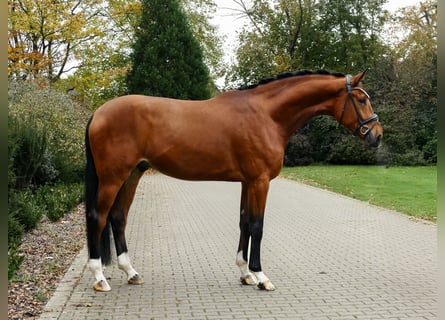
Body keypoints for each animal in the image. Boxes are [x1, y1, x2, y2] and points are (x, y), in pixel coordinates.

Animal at [84, 69, 382, 292]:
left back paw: (131, 272)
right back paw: (99, 277)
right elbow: (258, 226)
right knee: (98, 217)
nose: (377, 135)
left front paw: (245, 272)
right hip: (113, 177)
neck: (267, 115)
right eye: (361, 100)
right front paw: (261, 276)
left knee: (118, 218)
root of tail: (99, 112)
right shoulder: (260, 181)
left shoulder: (247, 182)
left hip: (133, 174)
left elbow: (244, 223)